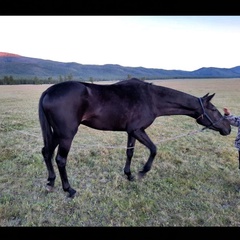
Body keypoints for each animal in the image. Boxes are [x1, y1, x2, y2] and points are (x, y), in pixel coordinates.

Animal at [38, 78, 232, 198]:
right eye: (213, 109)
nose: (228, 128)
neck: (151, 98)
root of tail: (49, 90)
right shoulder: (138, 130)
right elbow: (154, 149)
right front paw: (142, 172)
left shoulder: (131, 132)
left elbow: (129, 153)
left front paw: (129, 175)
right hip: (66, 134)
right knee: (60, 159)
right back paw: (69, 189)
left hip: (57, 133)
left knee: (46, 152)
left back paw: (50, 182)